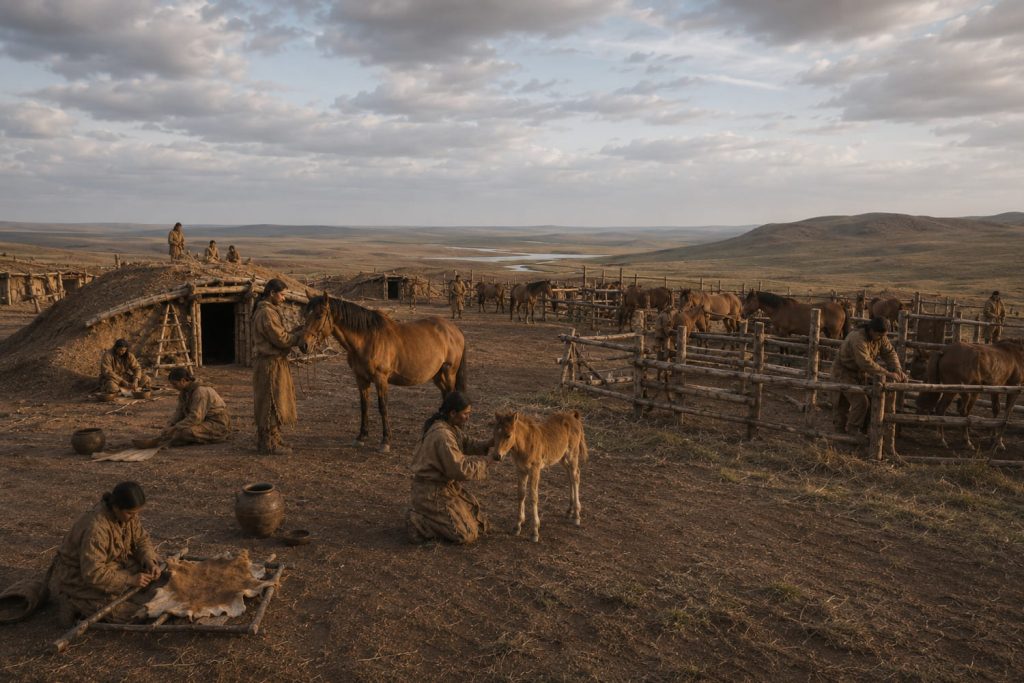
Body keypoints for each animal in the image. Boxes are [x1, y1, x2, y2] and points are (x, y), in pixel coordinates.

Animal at [299, 295, 467, 452]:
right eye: (305, 314)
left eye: (319, 315)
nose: (303, 345)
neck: (367, 339)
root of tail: (455, 330)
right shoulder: (361, 379)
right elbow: (364, 406)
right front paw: (361, 436)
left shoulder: (381, 379)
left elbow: (382, 407)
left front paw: (386, 441)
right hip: (438, 376)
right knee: (446, 396)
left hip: (449, 373)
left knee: (451, 396)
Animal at [491, 409, 588, 543]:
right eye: (494, 434)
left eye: (508, 435)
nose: (497, 456)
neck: (525, 444)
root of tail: (574, 418)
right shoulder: (520, 470)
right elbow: (520, 494)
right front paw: (518, 526)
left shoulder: (535, 469)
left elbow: (533, 496)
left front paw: (535, 532)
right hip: (561, 457)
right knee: (569, 476)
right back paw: (569, 510)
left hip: (572, 454)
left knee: (575, 476)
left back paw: (576, 516)